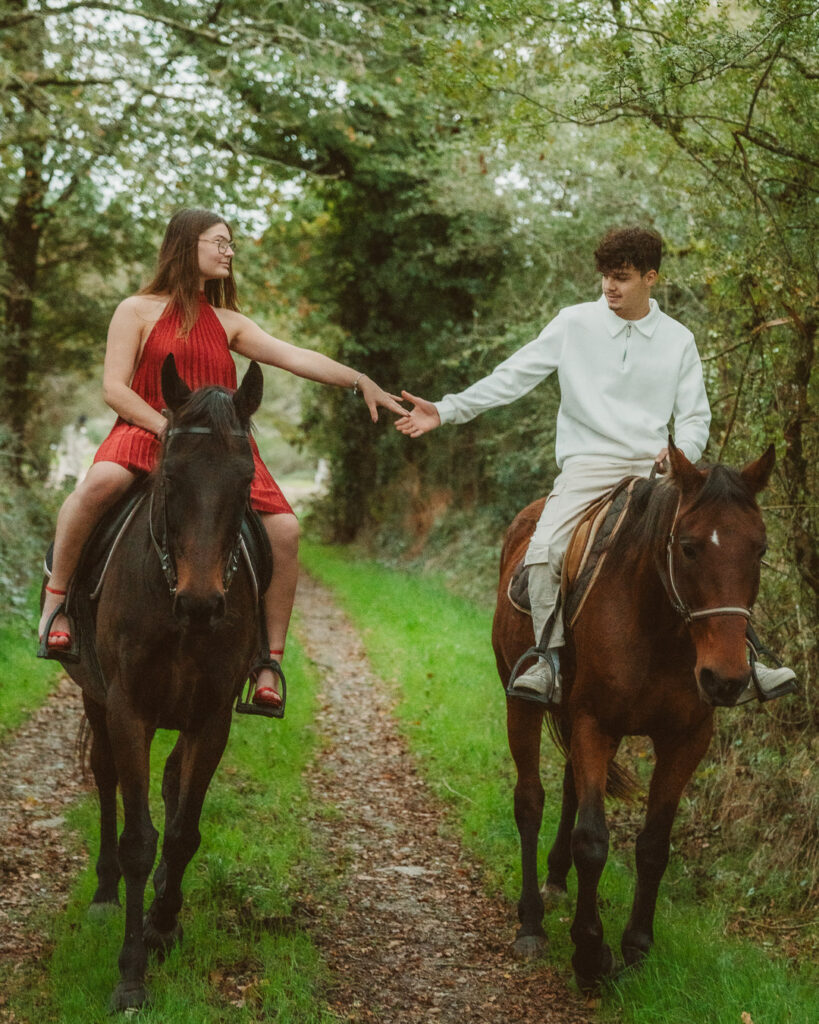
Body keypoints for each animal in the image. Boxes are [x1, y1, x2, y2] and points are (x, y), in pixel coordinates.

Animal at [61, 356, 266, 1011]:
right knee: (103, 778)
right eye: (170, 477)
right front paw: (130, 975)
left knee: (174, 782)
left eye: (245, 480)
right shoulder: (130, 710)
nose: (202, 604)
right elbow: (138, 839)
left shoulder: (212, 716)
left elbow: (180, 835)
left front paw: (163, 926)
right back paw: (104, 896)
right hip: (95, 697)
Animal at [493, 440, 773, 991]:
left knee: (570, 787)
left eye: (760, 550)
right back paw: (532, 923)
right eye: (688, 547)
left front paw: (637, 947)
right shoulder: (594, 724)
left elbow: (653, 845)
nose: (726, 679)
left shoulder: (686, 738)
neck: (658, 626)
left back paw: (556, 880)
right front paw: (590, 954)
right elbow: (593, 841)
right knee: (530, 800)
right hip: (523, 706)